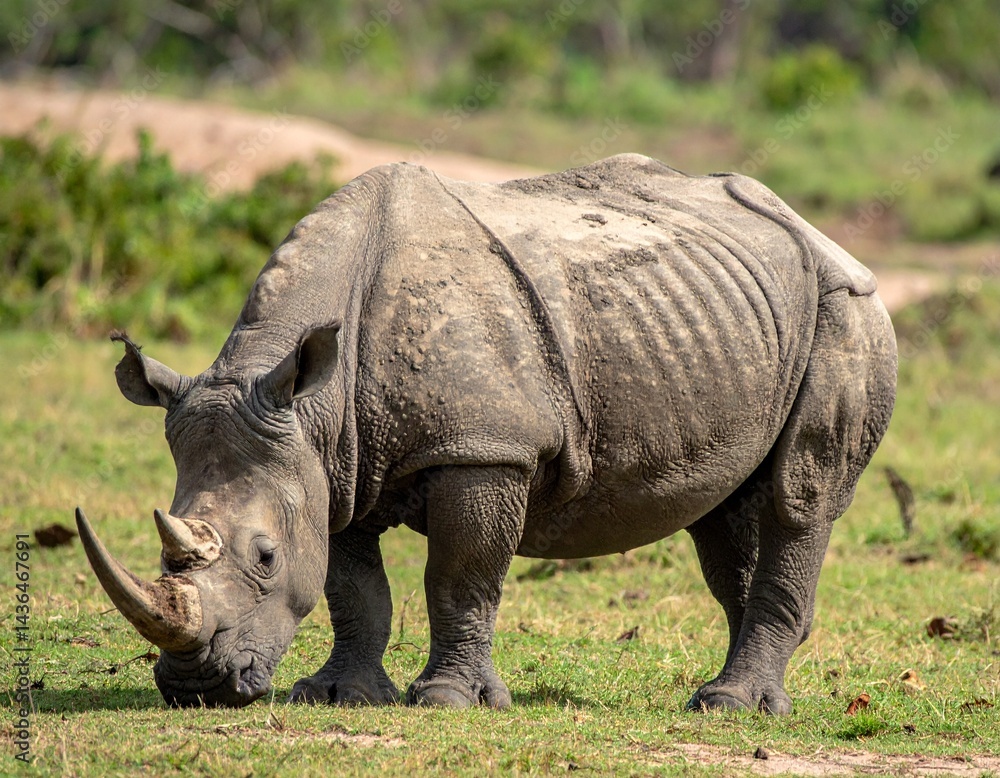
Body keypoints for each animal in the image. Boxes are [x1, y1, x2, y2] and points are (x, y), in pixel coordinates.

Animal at [76, 153, 896, 713]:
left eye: (265, 557)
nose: (196, 686)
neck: (311, 402)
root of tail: (823, 235)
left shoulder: (484, 450)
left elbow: (460, 575)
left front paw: (445, 701)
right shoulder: (333, 462)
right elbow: (354, 588)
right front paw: (338, 695)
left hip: (846, 309)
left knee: (798, 498)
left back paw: (730, 705)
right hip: (726, 317)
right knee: (723, 516)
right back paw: (730, 695)